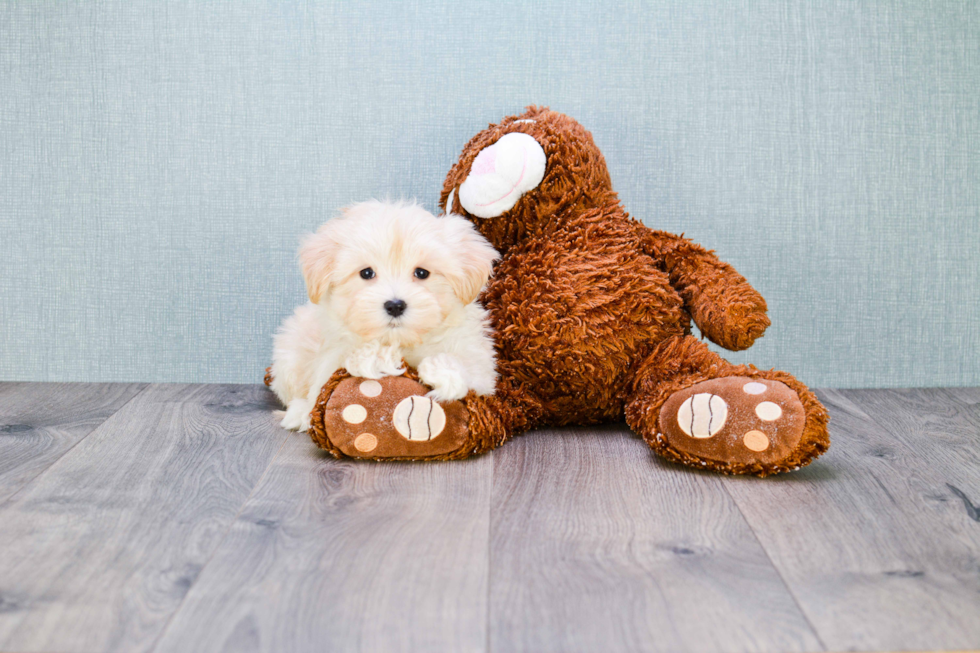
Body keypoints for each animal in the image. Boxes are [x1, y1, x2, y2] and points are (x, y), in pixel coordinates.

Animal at [270, 200, 498, 432]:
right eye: (366, 273)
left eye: (422, 273)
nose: (395, 306)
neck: (400, 341)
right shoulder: (332, 354)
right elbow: (329, 378)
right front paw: (375, 357)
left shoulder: (479, 362)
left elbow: (469, 366)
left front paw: (444, 373)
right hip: (289, 356)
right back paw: (299, 413)